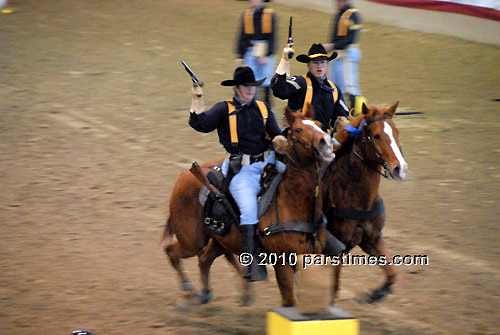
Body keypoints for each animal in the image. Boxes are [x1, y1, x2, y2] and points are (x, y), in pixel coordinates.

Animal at [164, 106, 336, 308]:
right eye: (299, 129)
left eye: (318, 124)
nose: (327, 144)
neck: (292, 203)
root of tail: (183, 176)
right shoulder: (282, 262)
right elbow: (289, 301)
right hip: (192, 240)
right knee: (172, 252)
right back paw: (188, 291)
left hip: (220, 240)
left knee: (204, 258)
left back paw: (207, 293)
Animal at [324, 101, 410, 304]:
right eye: (376, 135)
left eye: (396, 132)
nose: (401, 169)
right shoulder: (335, 250)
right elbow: (333, 287)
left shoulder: (372, 239)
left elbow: (392, 272)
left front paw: (375, 294)